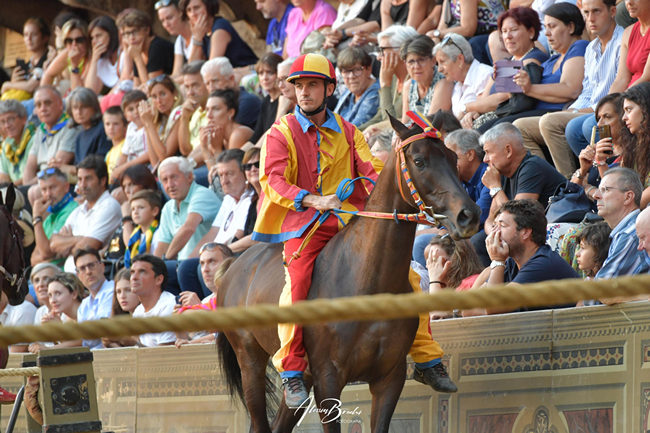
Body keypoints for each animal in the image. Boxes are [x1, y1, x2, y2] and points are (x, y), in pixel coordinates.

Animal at [215, 115, 478, 432]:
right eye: (419, 161)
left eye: (453, 157)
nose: (468, 215)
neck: (365, 282)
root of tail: (233, 267)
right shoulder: (328, 378)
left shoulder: (389, 378)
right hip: (250, 361)